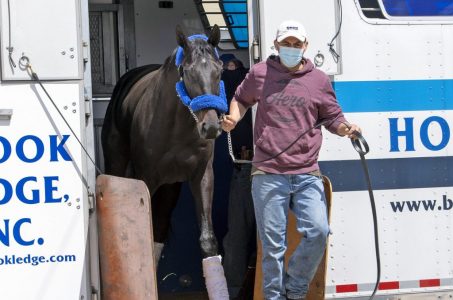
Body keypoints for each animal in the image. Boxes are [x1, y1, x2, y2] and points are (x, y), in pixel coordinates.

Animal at [100, 25, 224, 268]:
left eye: (219, 71)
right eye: (188, 72)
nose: (211, 126)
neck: (178, 128)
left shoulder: (202, 176)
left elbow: (207, 240)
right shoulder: (146, 178)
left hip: (169, 186)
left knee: (159, 228)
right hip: (119, 166)